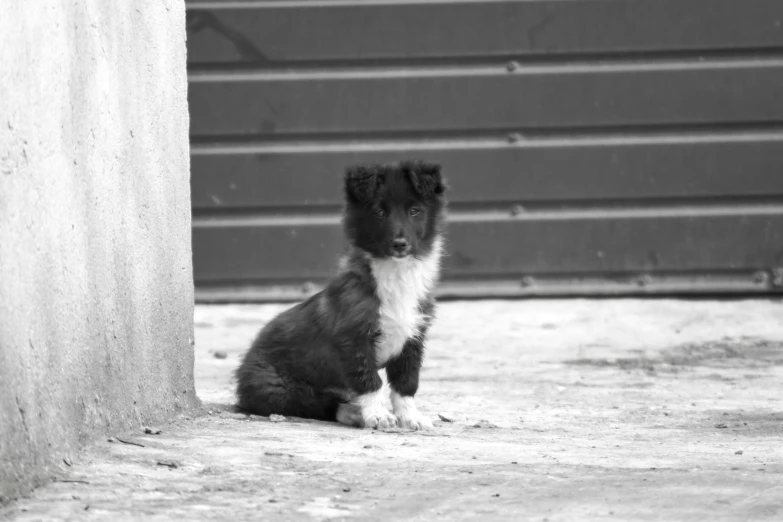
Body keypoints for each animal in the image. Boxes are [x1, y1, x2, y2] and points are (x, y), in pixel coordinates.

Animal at [234, 158, 448, 426]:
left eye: (414, 211)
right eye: (379, 212)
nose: (400, 244)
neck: (395, 274)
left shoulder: (413, 339)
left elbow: (406, 384)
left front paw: (411, 417)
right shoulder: (354, 340)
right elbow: (370, 382)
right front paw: (377, 414)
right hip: (276, 386)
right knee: (318, 403)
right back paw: (353, 413)